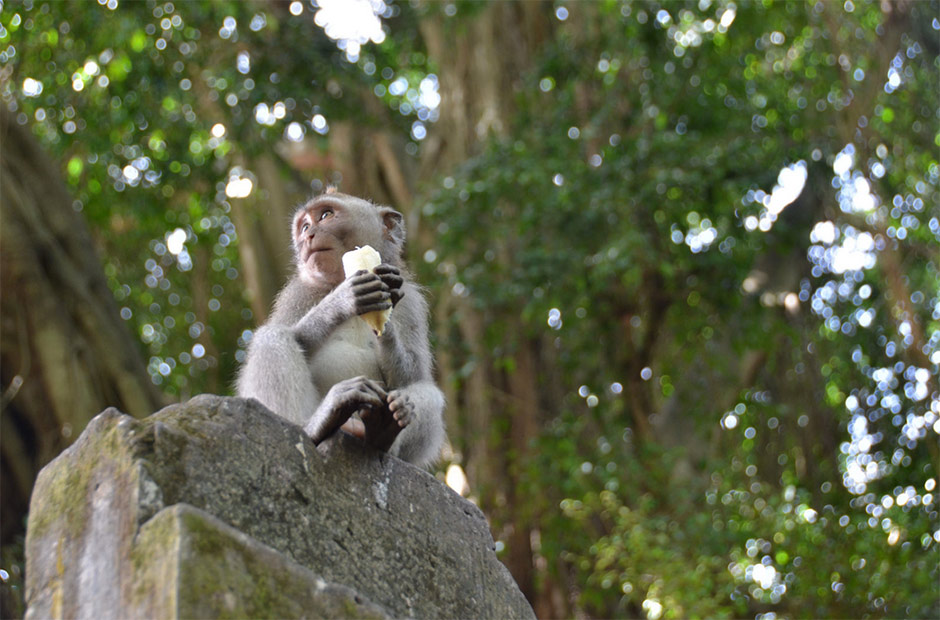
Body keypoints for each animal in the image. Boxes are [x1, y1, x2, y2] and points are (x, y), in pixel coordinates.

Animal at [233, 189, 442, 464]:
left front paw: (384, 324)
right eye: (305, 226)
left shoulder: (412, 303)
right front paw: (341, 300)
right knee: (272, 337)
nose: (308, 236)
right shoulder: (296, 294)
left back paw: (380, 430)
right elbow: (292, 334)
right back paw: (315, 425)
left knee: (428, 392)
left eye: (325, 215)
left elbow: (412, 375)